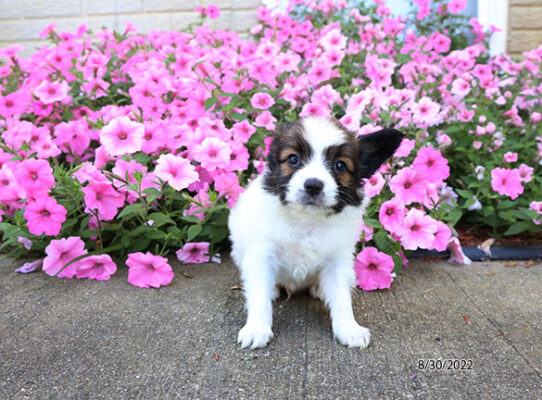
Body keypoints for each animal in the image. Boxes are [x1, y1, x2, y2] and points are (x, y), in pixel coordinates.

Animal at [230, 117, 404, 348]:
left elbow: (342, 298)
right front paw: (257, 328)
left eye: (340, 165)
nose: (313, 185)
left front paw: (348, 328)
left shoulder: (338, 260)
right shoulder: (261, 254)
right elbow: (259, 295)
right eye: (293, 159)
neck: (307, 219)